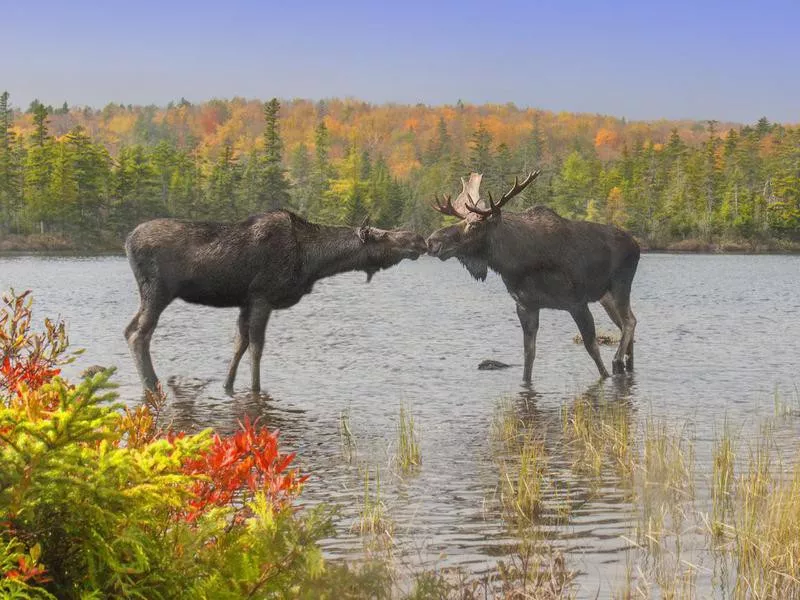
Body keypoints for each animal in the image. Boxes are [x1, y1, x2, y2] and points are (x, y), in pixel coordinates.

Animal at [125, 211, 428, 394]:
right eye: (382, 235)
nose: (419, 239)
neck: (313, 261)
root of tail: (126, 241)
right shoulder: (263, 297)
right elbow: (257, 348)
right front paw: (256, 389)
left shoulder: (245, 302)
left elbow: (239, 345)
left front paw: (227, 385)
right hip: (158, 291)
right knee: (139, 335)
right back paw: (152, 384)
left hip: (148, 295)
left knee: (129, 330)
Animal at [428, 172, 640, 380]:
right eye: (460, 221)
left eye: (473, 225)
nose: (432, 241)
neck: (516, 263)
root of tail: (636, 244)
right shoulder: (526, 306)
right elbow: (529, 355)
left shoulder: (577, 303)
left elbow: (593, 349)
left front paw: (606, 374)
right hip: (605, 297)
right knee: (626, 323)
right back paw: (627, 363)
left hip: (621, 285)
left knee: (629, 322)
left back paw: (617, 360)